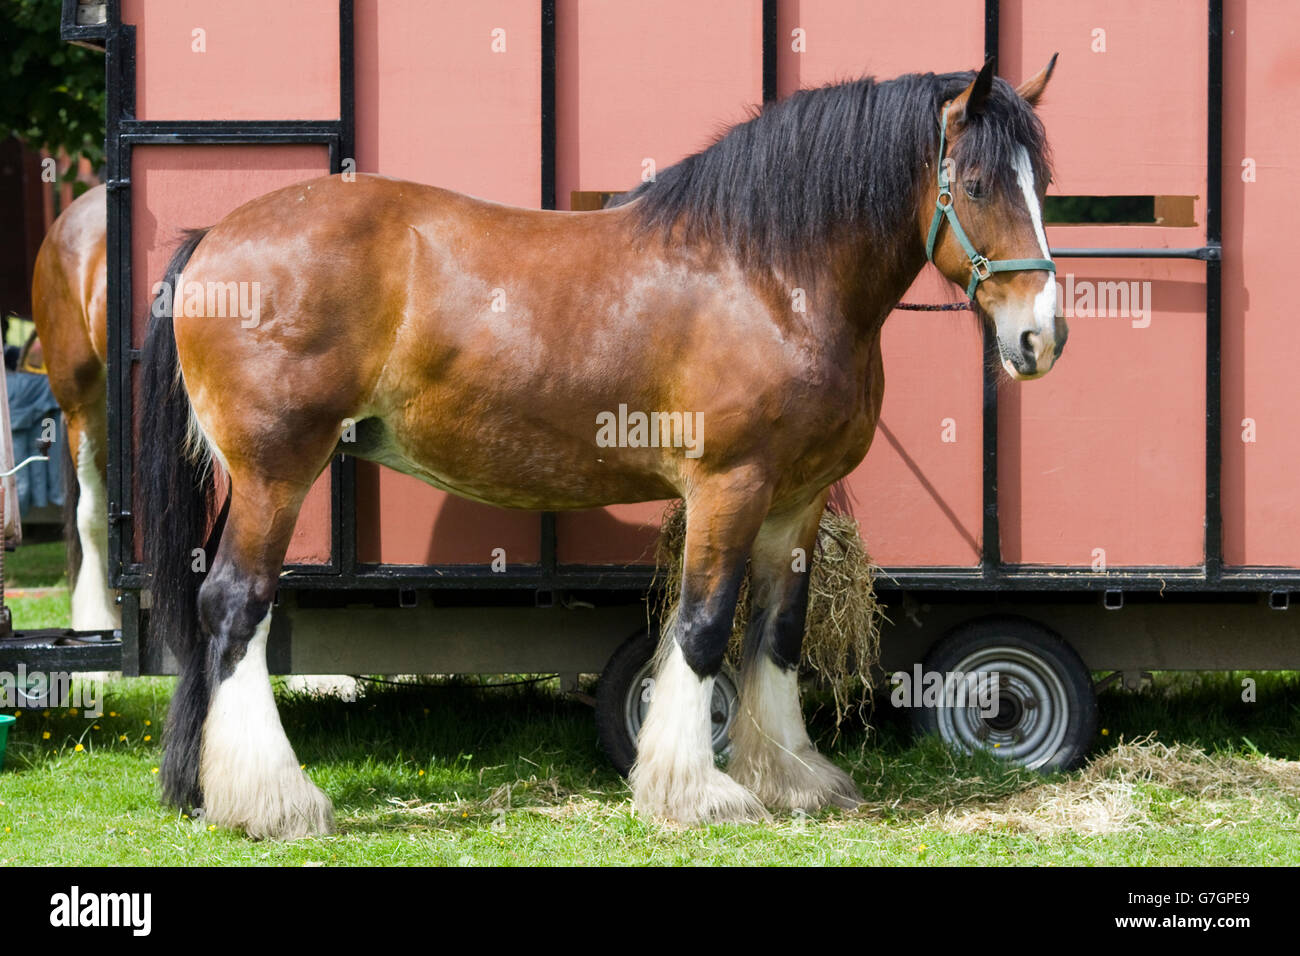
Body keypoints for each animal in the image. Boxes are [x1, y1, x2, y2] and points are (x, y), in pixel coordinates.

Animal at [140, 58, 1064, 839]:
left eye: (1043, 183)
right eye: (977, 183)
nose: (1040, 338)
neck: (767, 276)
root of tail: (213, 241)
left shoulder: (795, 504)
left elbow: (777, 633)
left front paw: (792, 778)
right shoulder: (728, 487)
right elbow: (703, 627)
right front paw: (695, 792)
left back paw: (206, 789)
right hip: (278, 471)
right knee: (237, 605)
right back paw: (277, 801)